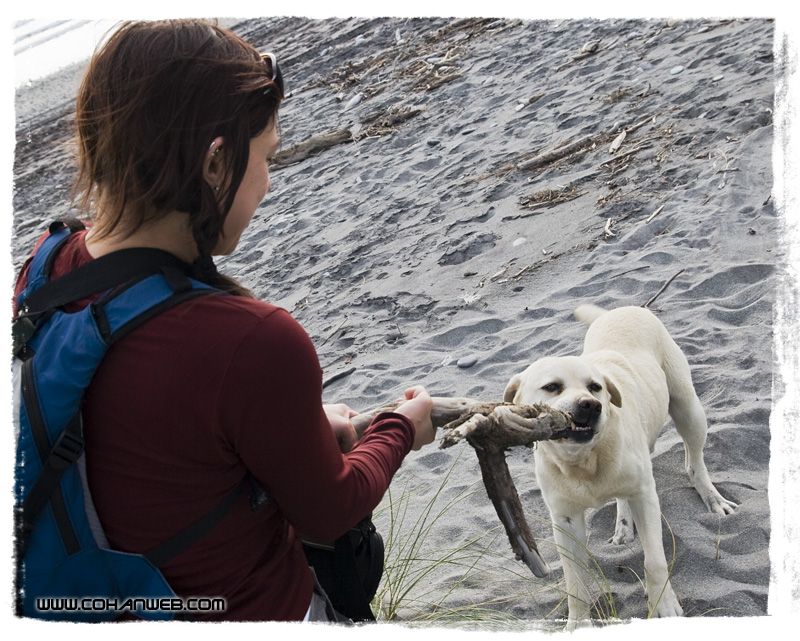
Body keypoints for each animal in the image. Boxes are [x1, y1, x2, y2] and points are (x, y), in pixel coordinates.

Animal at [506, 304, 736, 624]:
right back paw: (624, 526)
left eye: (595, 387)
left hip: (687, 406)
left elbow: (654, 560)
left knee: (694, 461)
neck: (584, 459)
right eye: (552, 387)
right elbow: (574, 580)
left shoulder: (646, 497)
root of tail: (623, 308)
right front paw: (578, 623)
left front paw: (663, 604)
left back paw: (712, 498)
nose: (591, 405)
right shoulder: (564, 520)